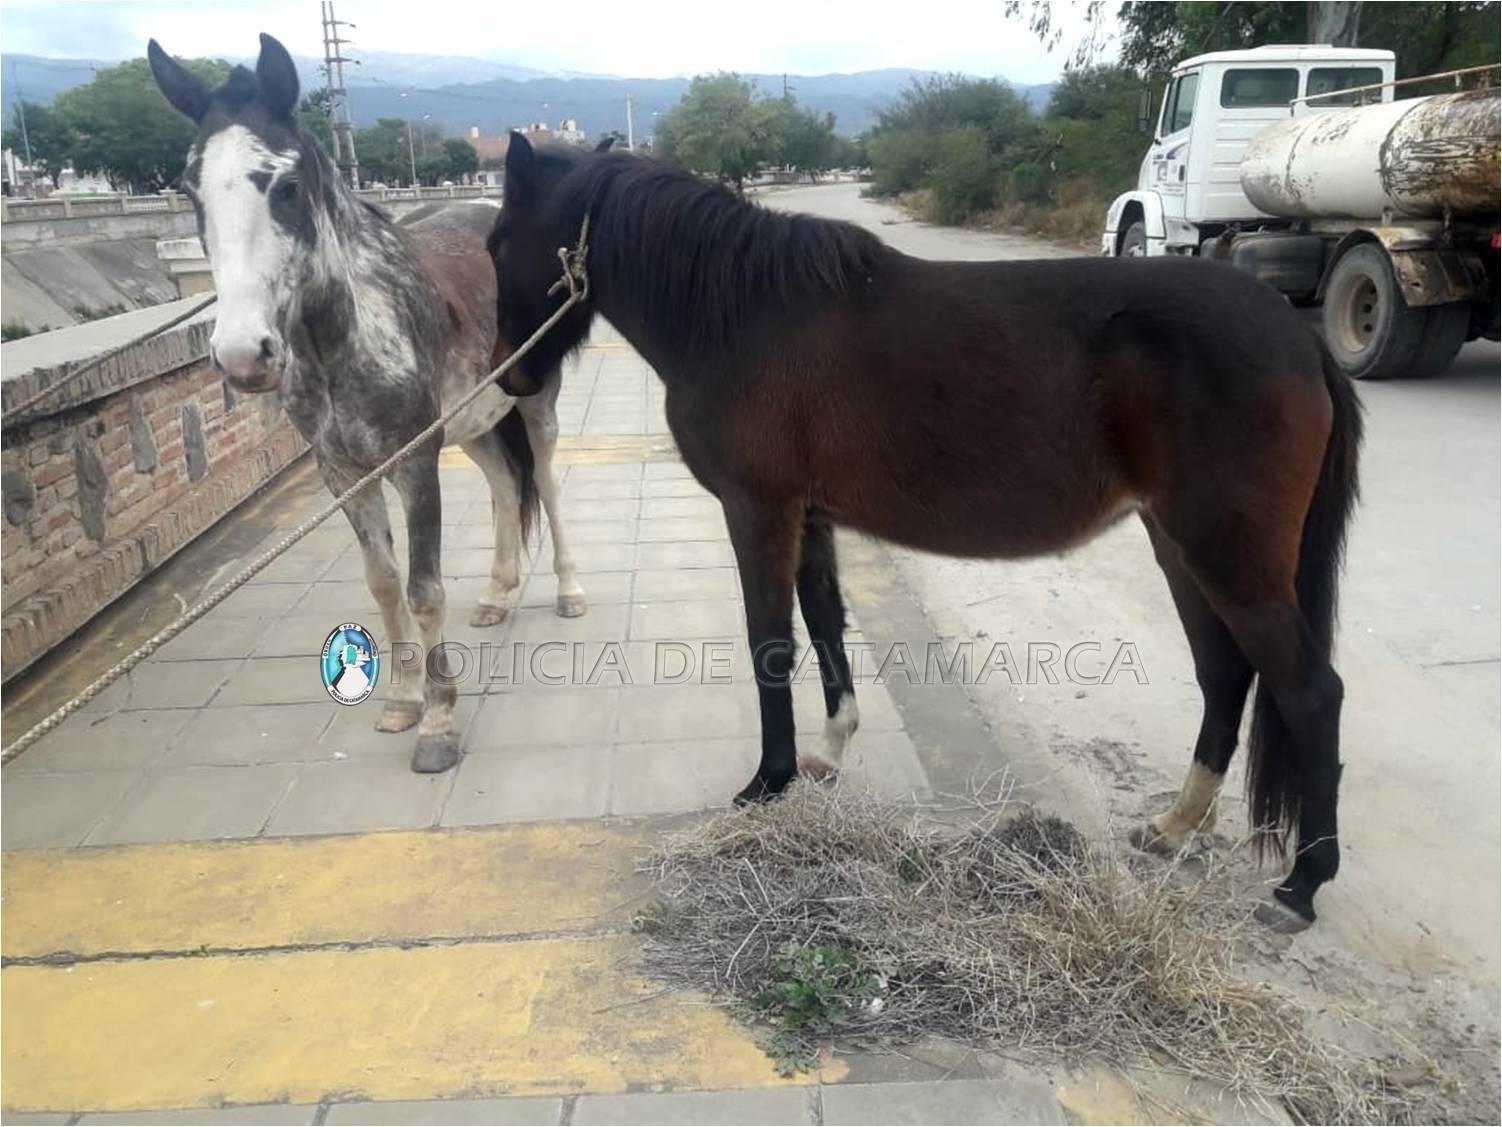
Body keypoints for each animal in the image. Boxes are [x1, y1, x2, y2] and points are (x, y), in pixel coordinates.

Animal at [148, 35, 590, 774]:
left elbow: (424, 587)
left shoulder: (415, 464)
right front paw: (403, 700)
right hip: (475, 421)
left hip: (534, 405)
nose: (243, 354)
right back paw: (497, 594)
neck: (346, 337)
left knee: (548, 484)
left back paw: (569, 592)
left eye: (287, 187)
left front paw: (438, 723)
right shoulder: (345, 474)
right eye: (189, 189)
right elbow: (383, 583)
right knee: (505, 484)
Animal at [487, 135, 1363, 929]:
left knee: (1310, 692)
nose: (511, 378)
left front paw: (767, 782)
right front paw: (827, 753)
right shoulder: (809, 516)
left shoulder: (757, 509)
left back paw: (1303, 884)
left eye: (496, 243)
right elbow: (824, 625)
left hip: (1229, 554)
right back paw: (1176, 825)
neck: (739, 315)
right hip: (1181, 544)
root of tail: (1299, 337)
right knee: (1225, 674)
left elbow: (770, 640)